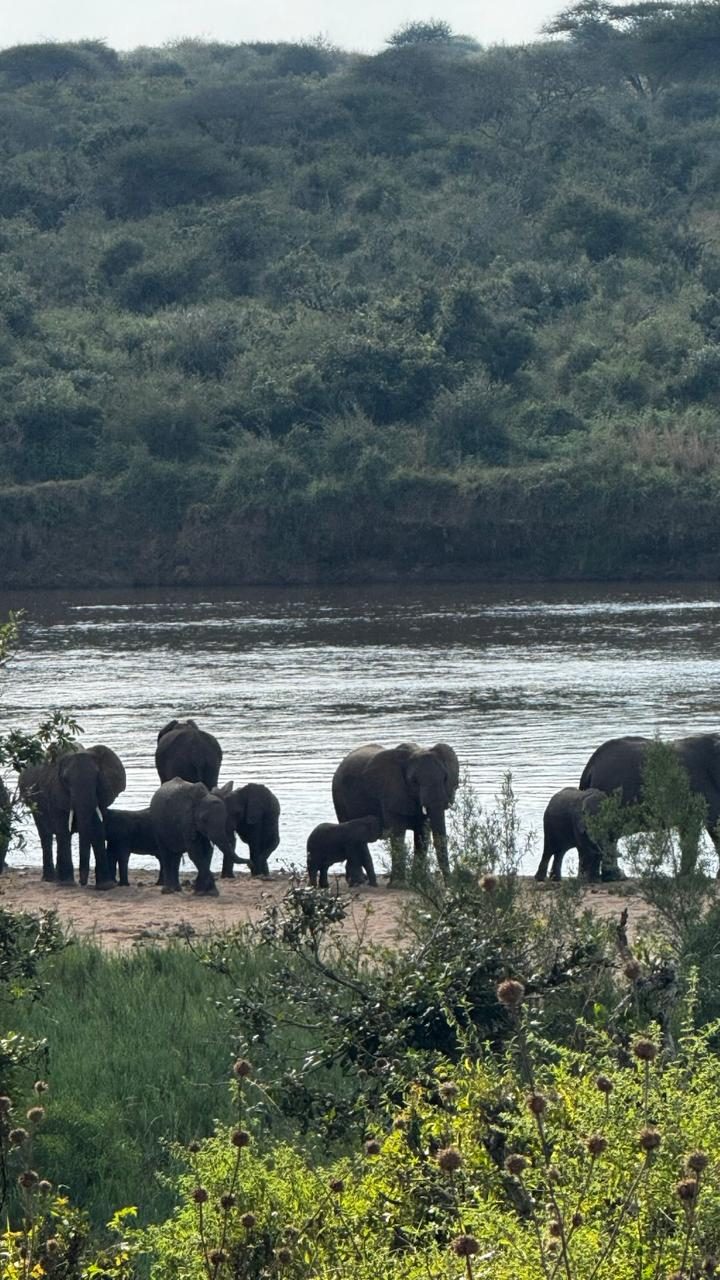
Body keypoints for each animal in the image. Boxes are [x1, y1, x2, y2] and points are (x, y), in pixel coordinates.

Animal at [18, 745, 126, 888]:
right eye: (65, 780)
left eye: (97, 776)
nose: (82, 882)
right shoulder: (54, 792)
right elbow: (63, 829)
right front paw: (68, 883)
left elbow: (97, 829)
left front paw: (105, 886)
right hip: (33, 803)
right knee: (46, 835)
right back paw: (51, 879)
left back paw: (58, 879)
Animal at [332, 741, 459, 884]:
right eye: (414, 781)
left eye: (445, 778)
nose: (449, 884)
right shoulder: (389, 793)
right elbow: (398, 832)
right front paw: (400, 885)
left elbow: (423, 833)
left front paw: (421, 883)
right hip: (339, 798)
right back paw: (359, 881)